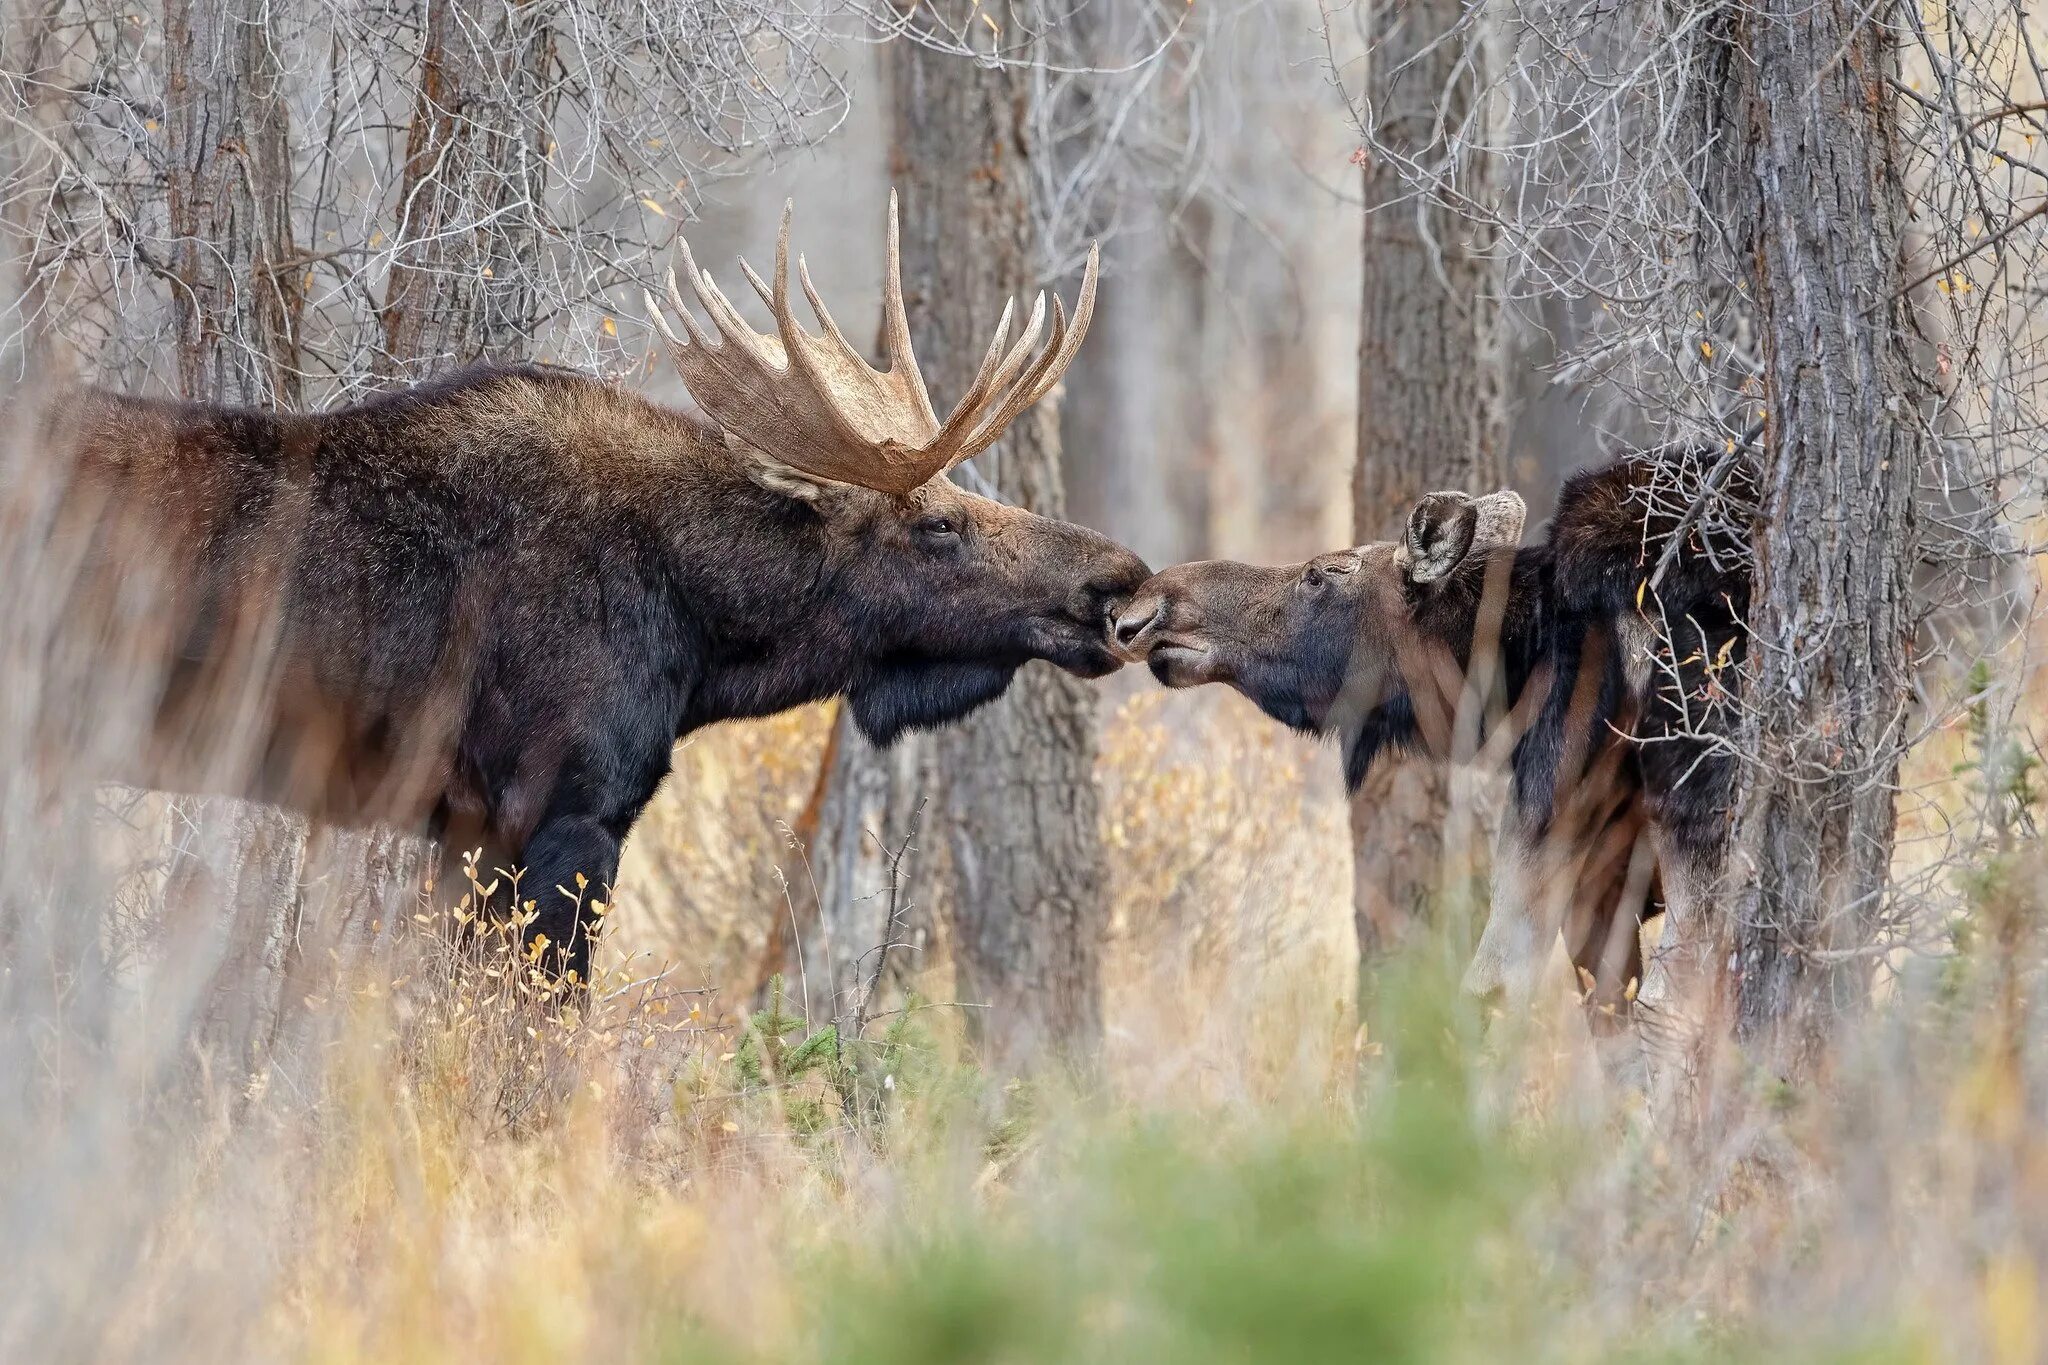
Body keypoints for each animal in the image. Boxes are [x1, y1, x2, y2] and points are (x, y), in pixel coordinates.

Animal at [1114, 454, 1753, 1031]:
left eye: (1319, 575)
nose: (1149, 607)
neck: (1520, 651)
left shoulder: (1554, 803)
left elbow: (1496, 992)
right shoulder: (1606, 879)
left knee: (1668, 1000)